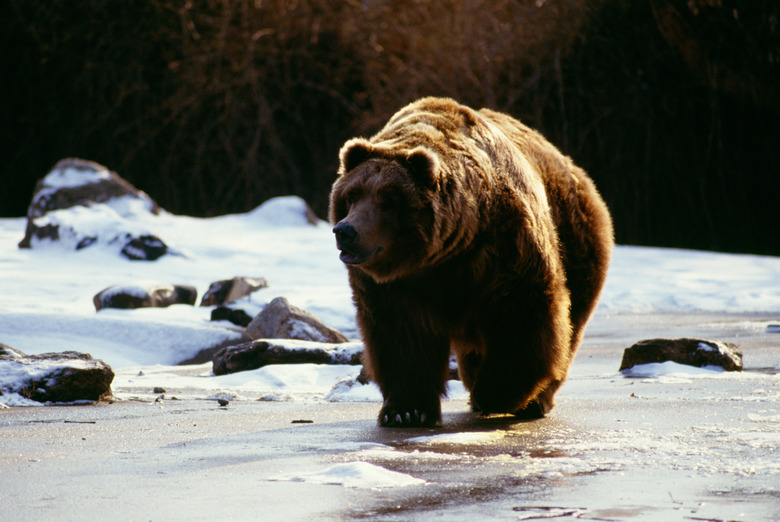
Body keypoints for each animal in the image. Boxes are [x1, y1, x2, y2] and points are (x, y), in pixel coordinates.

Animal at [326, 97, 612, 426]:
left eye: (387, 202)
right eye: (351, 195)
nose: (345, 231)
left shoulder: (503, 251)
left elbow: (523, 317)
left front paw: (496, 393)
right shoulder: (397, 284)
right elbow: (401, 336)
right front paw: (406, 410)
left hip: (576, 237)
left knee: (569, 324)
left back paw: (532, 400)